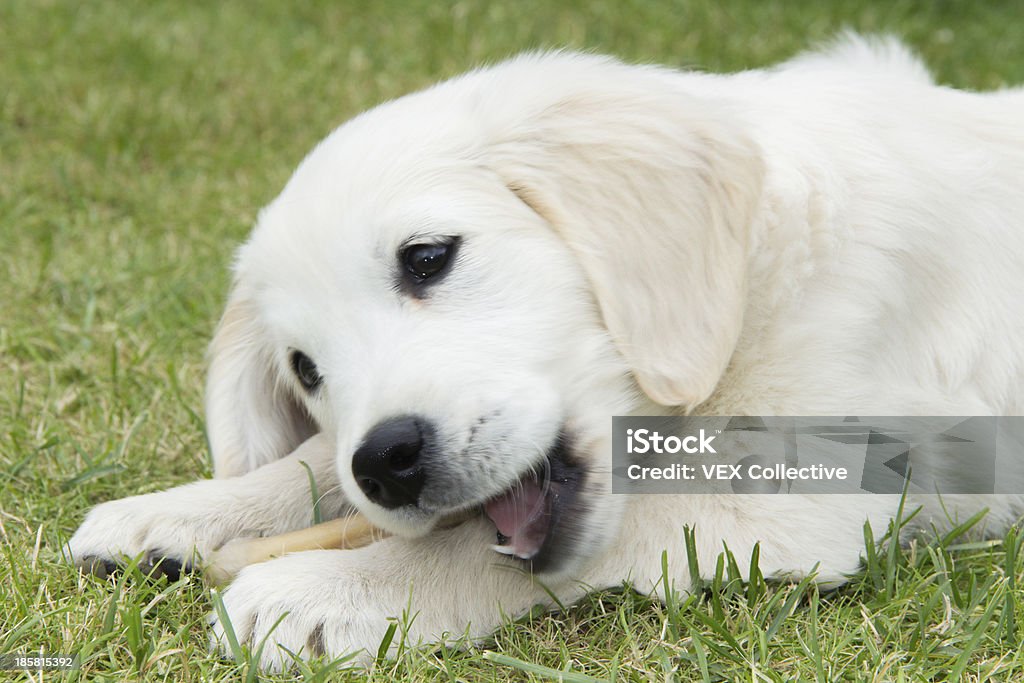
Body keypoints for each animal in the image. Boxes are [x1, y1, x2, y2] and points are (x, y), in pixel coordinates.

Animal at [66, 36, 1024, 667]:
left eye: (427, 256)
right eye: (306, 369)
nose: (388, 462)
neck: (753, 279)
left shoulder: (808, 488)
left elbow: (486, 547)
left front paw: (325, 591)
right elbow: (313, 463)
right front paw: (184, 511)